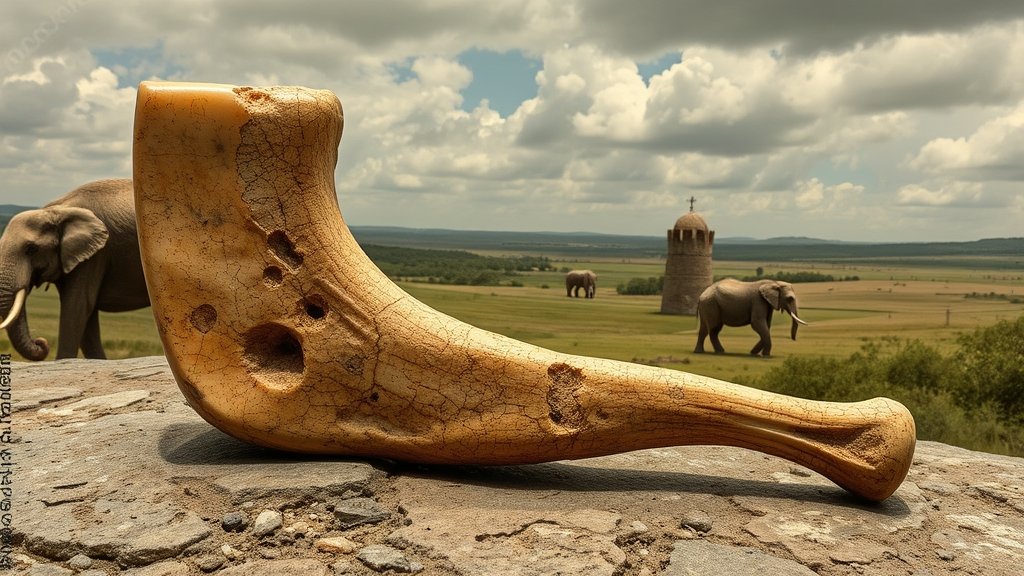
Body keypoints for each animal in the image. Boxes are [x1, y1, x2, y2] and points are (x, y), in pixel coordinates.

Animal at [0, 178, 150, 360]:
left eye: (31, 249)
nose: (41, 342)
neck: (55, 210)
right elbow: (86, 314)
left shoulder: (95, 256)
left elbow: (76, 308)